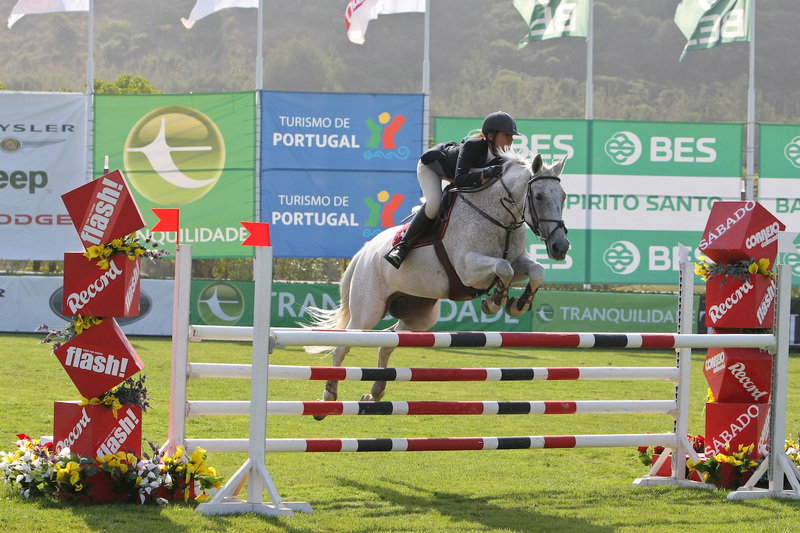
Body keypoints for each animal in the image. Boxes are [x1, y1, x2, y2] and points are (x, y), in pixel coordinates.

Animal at [306, 151, 570, 413]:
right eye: (538, 196)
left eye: (564, 197)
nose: (560, 247)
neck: (500, 218)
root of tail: (364, 251)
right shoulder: (468, 269)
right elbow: (503, 267)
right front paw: (494, 301)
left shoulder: (518, 262)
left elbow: (536, 270)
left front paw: (518, 304)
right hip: (367, 311)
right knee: (343, 345)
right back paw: (329, 394)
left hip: (419, 315)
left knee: (387, 342)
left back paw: (375, 393)